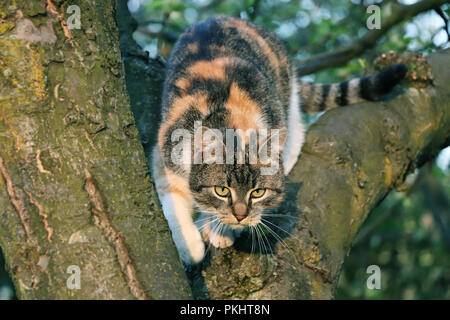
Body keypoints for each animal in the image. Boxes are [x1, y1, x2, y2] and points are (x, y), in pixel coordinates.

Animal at [151, 15, 408, 264]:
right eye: (222, 190)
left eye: (258, 192)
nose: (240, 216)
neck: (232, 120)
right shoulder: (167, 150)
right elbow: (173, 200)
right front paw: (190, 247)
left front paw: (219, 230)